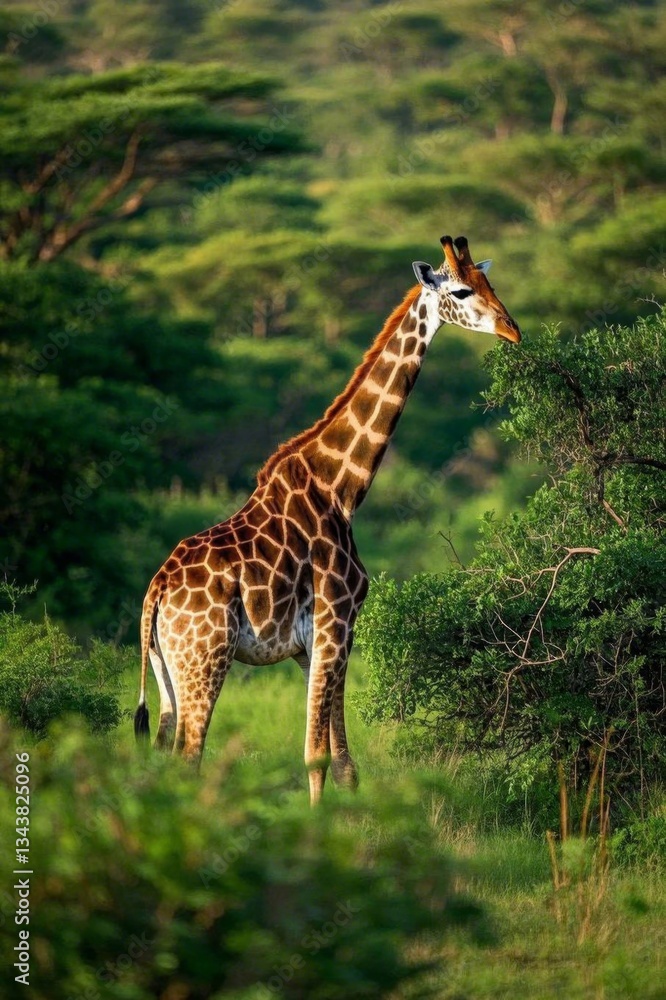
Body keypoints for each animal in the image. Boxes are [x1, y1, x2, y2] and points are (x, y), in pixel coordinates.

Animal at [134, 235, 521, 804]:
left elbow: (343, 762)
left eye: (490, 281)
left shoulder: (318, 640)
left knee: (164, 754)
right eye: (461, 290)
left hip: (166, 671)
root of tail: (156, 593)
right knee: (190, 756)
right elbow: (316, 757)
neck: (341, 487)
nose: (513, 330)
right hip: (204, 659)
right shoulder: (336, 620)